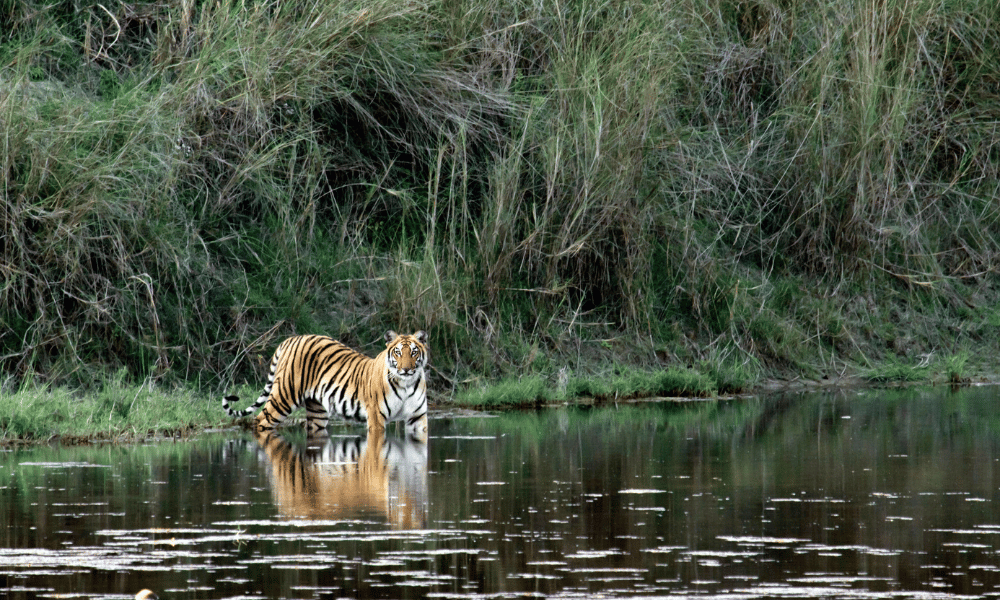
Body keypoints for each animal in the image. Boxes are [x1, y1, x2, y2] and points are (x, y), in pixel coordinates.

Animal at [225, 328, 428, 440]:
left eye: (414, 352)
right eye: (398, 353)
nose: (406, 369)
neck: (406, 384)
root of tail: (290, 339)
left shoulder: (418, 418)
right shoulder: (377, 418)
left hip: (317, 411)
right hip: (283, 397)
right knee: (259, 421)